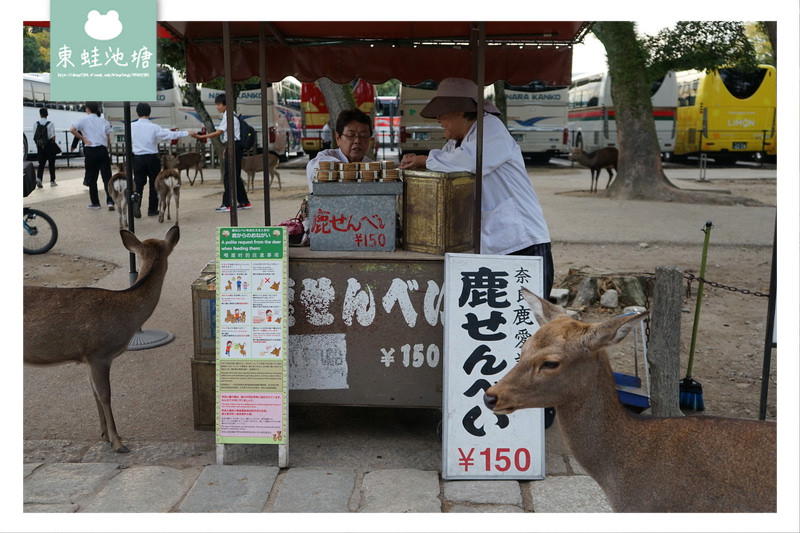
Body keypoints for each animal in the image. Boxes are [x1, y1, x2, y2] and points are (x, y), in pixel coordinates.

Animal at [23, 224, 180, 454]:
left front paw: (104, 434)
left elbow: (95, 393)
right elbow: (105, 394)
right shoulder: (99, 354)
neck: (127, 315)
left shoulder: (88, 358)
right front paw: (118, 442)